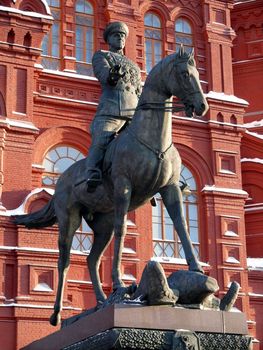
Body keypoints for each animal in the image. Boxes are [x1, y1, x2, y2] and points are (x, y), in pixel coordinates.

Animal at [13, 46, 209, 326]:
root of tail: (61, 179)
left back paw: (101, 302)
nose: (202, 106)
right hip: (69, 219)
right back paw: (58, 313)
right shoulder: (123, 188)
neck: (152, 138)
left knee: (92, 260)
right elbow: (123, 230)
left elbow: (181, 224)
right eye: (184, 74)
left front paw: (196, 267)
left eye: (197, 75)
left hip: (101, 225)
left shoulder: (170, 189)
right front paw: (118, 283)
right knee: (64, 261)